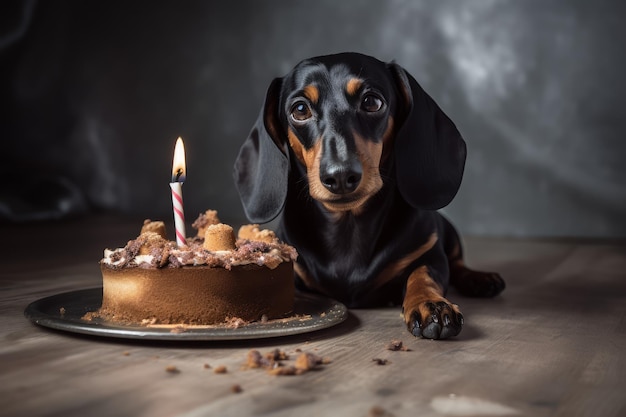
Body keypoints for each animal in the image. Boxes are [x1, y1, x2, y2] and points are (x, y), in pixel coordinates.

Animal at [233, 52, 502, 338]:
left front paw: (432, 305)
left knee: (458, 262)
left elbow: (423, 274)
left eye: (371, 102)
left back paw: (480, 279)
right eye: (300, 110)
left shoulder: (430, 253)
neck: (348, 227)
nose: (340, 176)